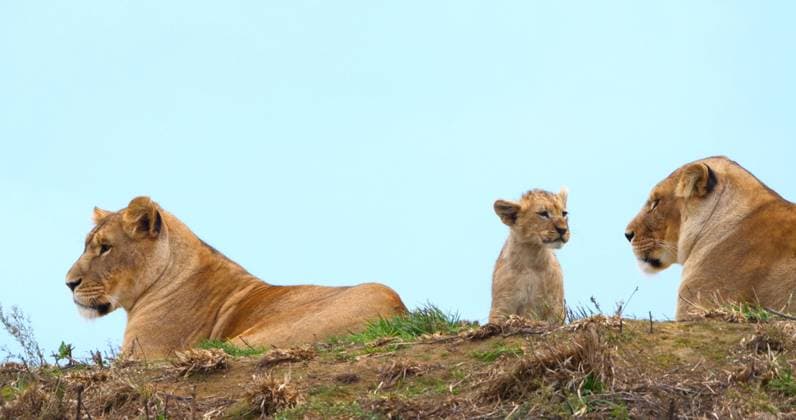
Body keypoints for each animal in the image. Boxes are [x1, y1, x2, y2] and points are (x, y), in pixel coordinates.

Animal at [489, 188, 570, 324]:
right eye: (543, 214)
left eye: (564, 213)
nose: (563, 230)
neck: (531, 257)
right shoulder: (502, 305)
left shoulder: (555, 307)